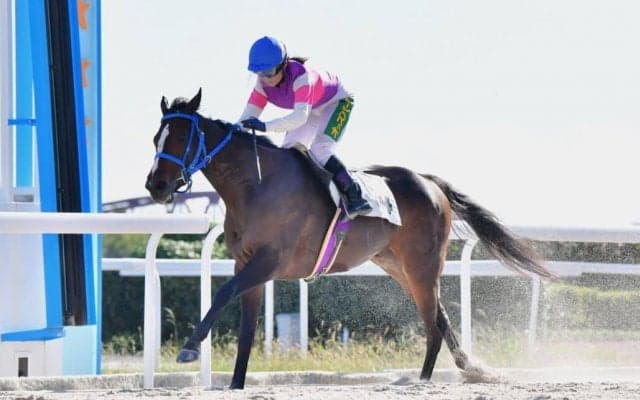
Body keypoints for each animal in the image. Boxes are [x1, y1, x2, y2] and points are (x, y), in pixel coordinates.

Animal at [145, 89, 554, 389]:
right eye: (156, 137)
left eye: (180, 137)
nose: (156, 185)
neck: (257, 184)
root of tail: (429, 182)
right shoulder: (247, 262)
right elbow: (246, 328)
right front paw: (235, 384)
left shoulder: (269, 260)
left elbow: (223, 293)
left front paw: (189, 348)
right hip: (397, 265)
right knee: (440, 316)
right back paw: (467, 369)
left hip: (422, 264)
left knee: (433, 322)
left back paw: (422, 380)